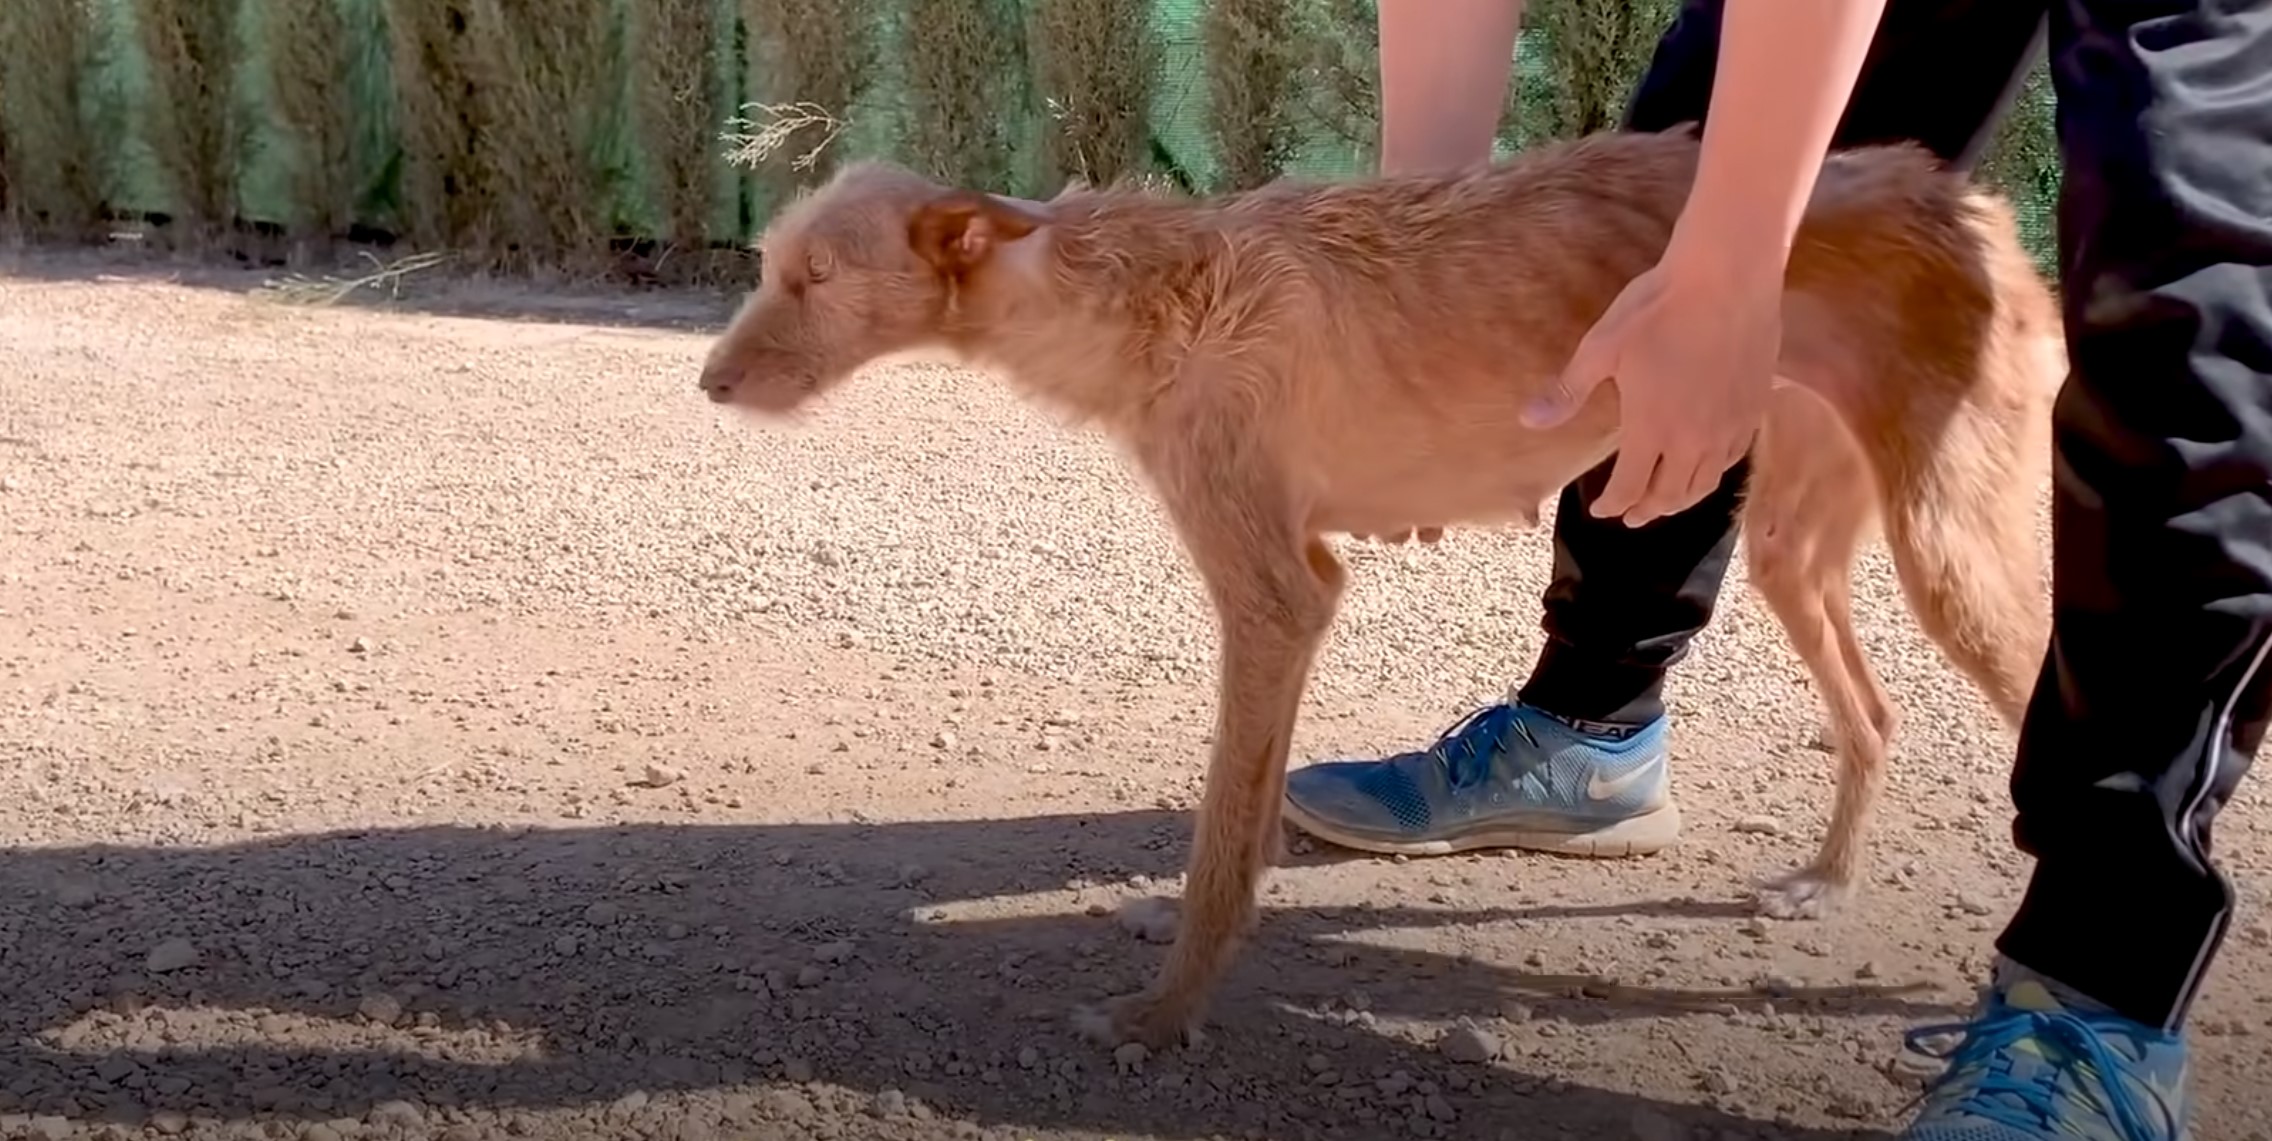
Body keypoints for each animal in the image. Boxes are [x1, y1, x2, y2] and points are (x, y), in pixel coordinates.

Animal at [699, 127, 2072, 1050]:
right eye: (770, 265)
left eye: (815, 279)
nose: (706, 385)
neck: (1137, 290)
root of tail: (1973, 201)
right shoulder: (1291, 597)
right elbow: (1246, 814)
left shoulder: (1276, 590)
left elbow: (1217, 838)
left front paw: (1163, 1011)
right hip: (1791, 543)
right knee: (1875, 715)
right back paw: (1827, 885)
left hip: (1950, 555)